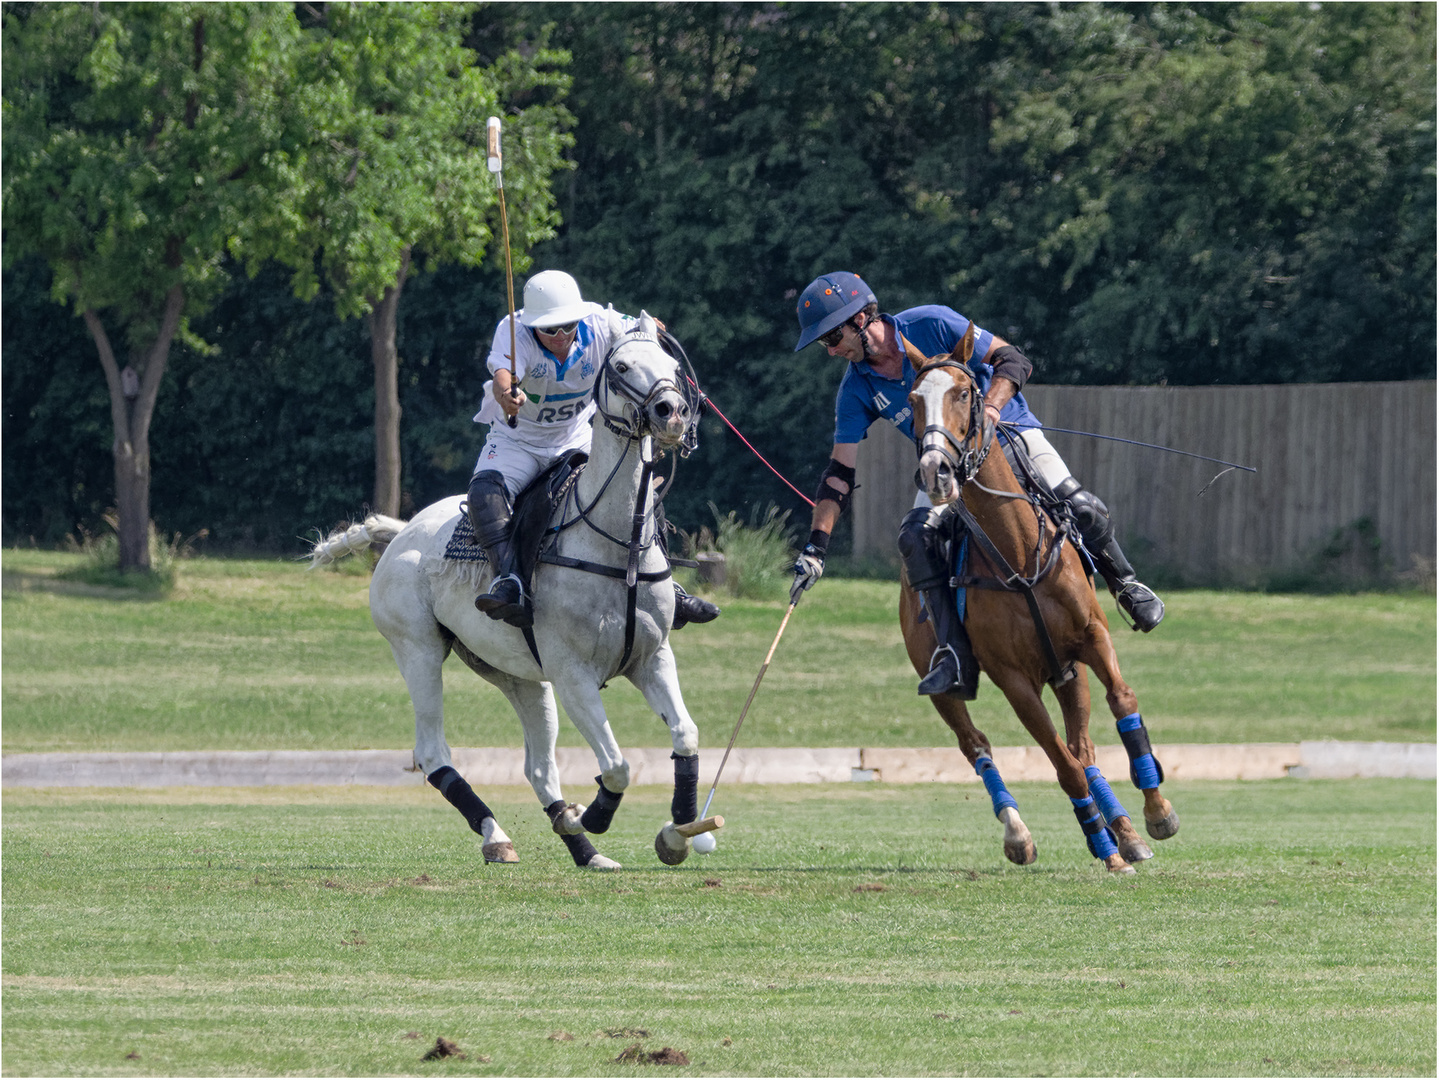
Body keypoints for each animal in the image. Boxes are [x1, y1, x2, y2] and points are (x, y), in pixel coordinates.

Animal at [309, 312, 702, 868]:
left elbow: (685, 735)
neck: (615, 544)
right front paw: (597, 816)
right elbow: (618, 765)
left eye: (671, 363)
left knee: (538, 766)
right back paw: (500, 835)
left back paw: (582, 847)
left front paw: (679, 831)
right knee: (432, 751)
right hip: (417, 648)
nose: (672, 412)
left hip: (516, 673)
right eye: (622, 366)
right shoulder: (573, 673)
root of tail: (403, 530)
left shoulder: (652, 657)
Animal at [897, 325, 1179, 874]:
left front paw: (1156, 813)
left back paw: (1126, 832)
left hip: (1066, 671)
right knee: (978, 744)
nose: (935, 471)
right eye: (913, 401)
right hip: (942, 680)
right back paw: (1026, 835)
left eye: (964, 394)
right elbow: (1059, 763)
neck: (1018, 551)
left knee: (1084, 747)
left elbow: (1121, 702)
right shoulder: (1013, 678)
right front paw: (1106, 852)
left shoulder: (1091, 638)